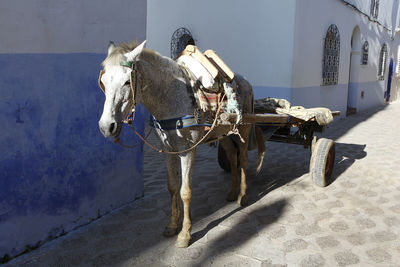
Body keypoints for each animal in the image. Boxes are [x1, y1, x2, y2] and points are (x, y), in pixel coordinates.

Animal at [98, 40, 264, 249]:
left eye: (127, 81)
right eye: (103, 82)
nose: (106, 127)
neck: (171, 98)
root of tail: (246, 81)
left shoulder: (187, 151)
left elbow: (185, 191)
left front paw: (185, 233)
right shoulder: (167, 150)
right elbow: (172, 186)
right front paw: (172, 225)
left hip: (244, 128)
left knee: (242, 158)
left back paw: (243, 196)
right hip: (223, 133)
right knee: (232, 157)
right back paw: (232, 192)